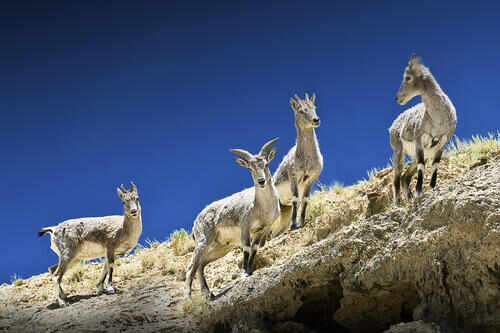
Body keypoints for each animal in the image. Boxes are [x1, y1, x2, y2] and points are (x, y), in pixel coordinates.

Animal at [184, 137, 280, 298]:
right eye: (250, 168)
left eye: (266, 164)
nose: (261, 181)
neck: (261, 208)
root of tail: (195, 222)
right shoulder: (244, 226)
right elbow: (246, 248)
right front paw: (244, 274)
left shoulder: (263, 229)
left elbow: (254, 248)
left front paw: (250, 271)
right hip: (203, 241)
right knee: (191, 266)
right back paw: (188, 297)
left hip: (221, 247)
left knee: (201, 264)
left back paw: (208, 293)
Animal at [272, 92, 322, 235]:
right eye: (300, 110)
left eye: (314, 107)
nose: (316, 120)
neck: (306, 159)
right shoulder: (293, 176)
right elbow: (295, 199)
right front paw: (294, 224)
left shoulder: (311, 178)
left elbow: (304, 199)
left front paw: (302, 222)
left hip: (284, 210)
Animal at [390, 55, 458, 202]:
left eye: (408, 77)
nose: (397, 98)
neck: (438, 119)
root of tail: (392, 126)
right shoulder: (419, 141)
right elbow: (422, 166)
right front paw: (419, 192)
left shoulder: (442, 142)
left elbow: (435, 164)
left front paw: (432, 188)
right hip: (399, 151)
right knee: (397, 178)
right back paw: (398, 203)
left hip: (416, 155)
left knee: (405, 177)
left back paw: (409, 198)